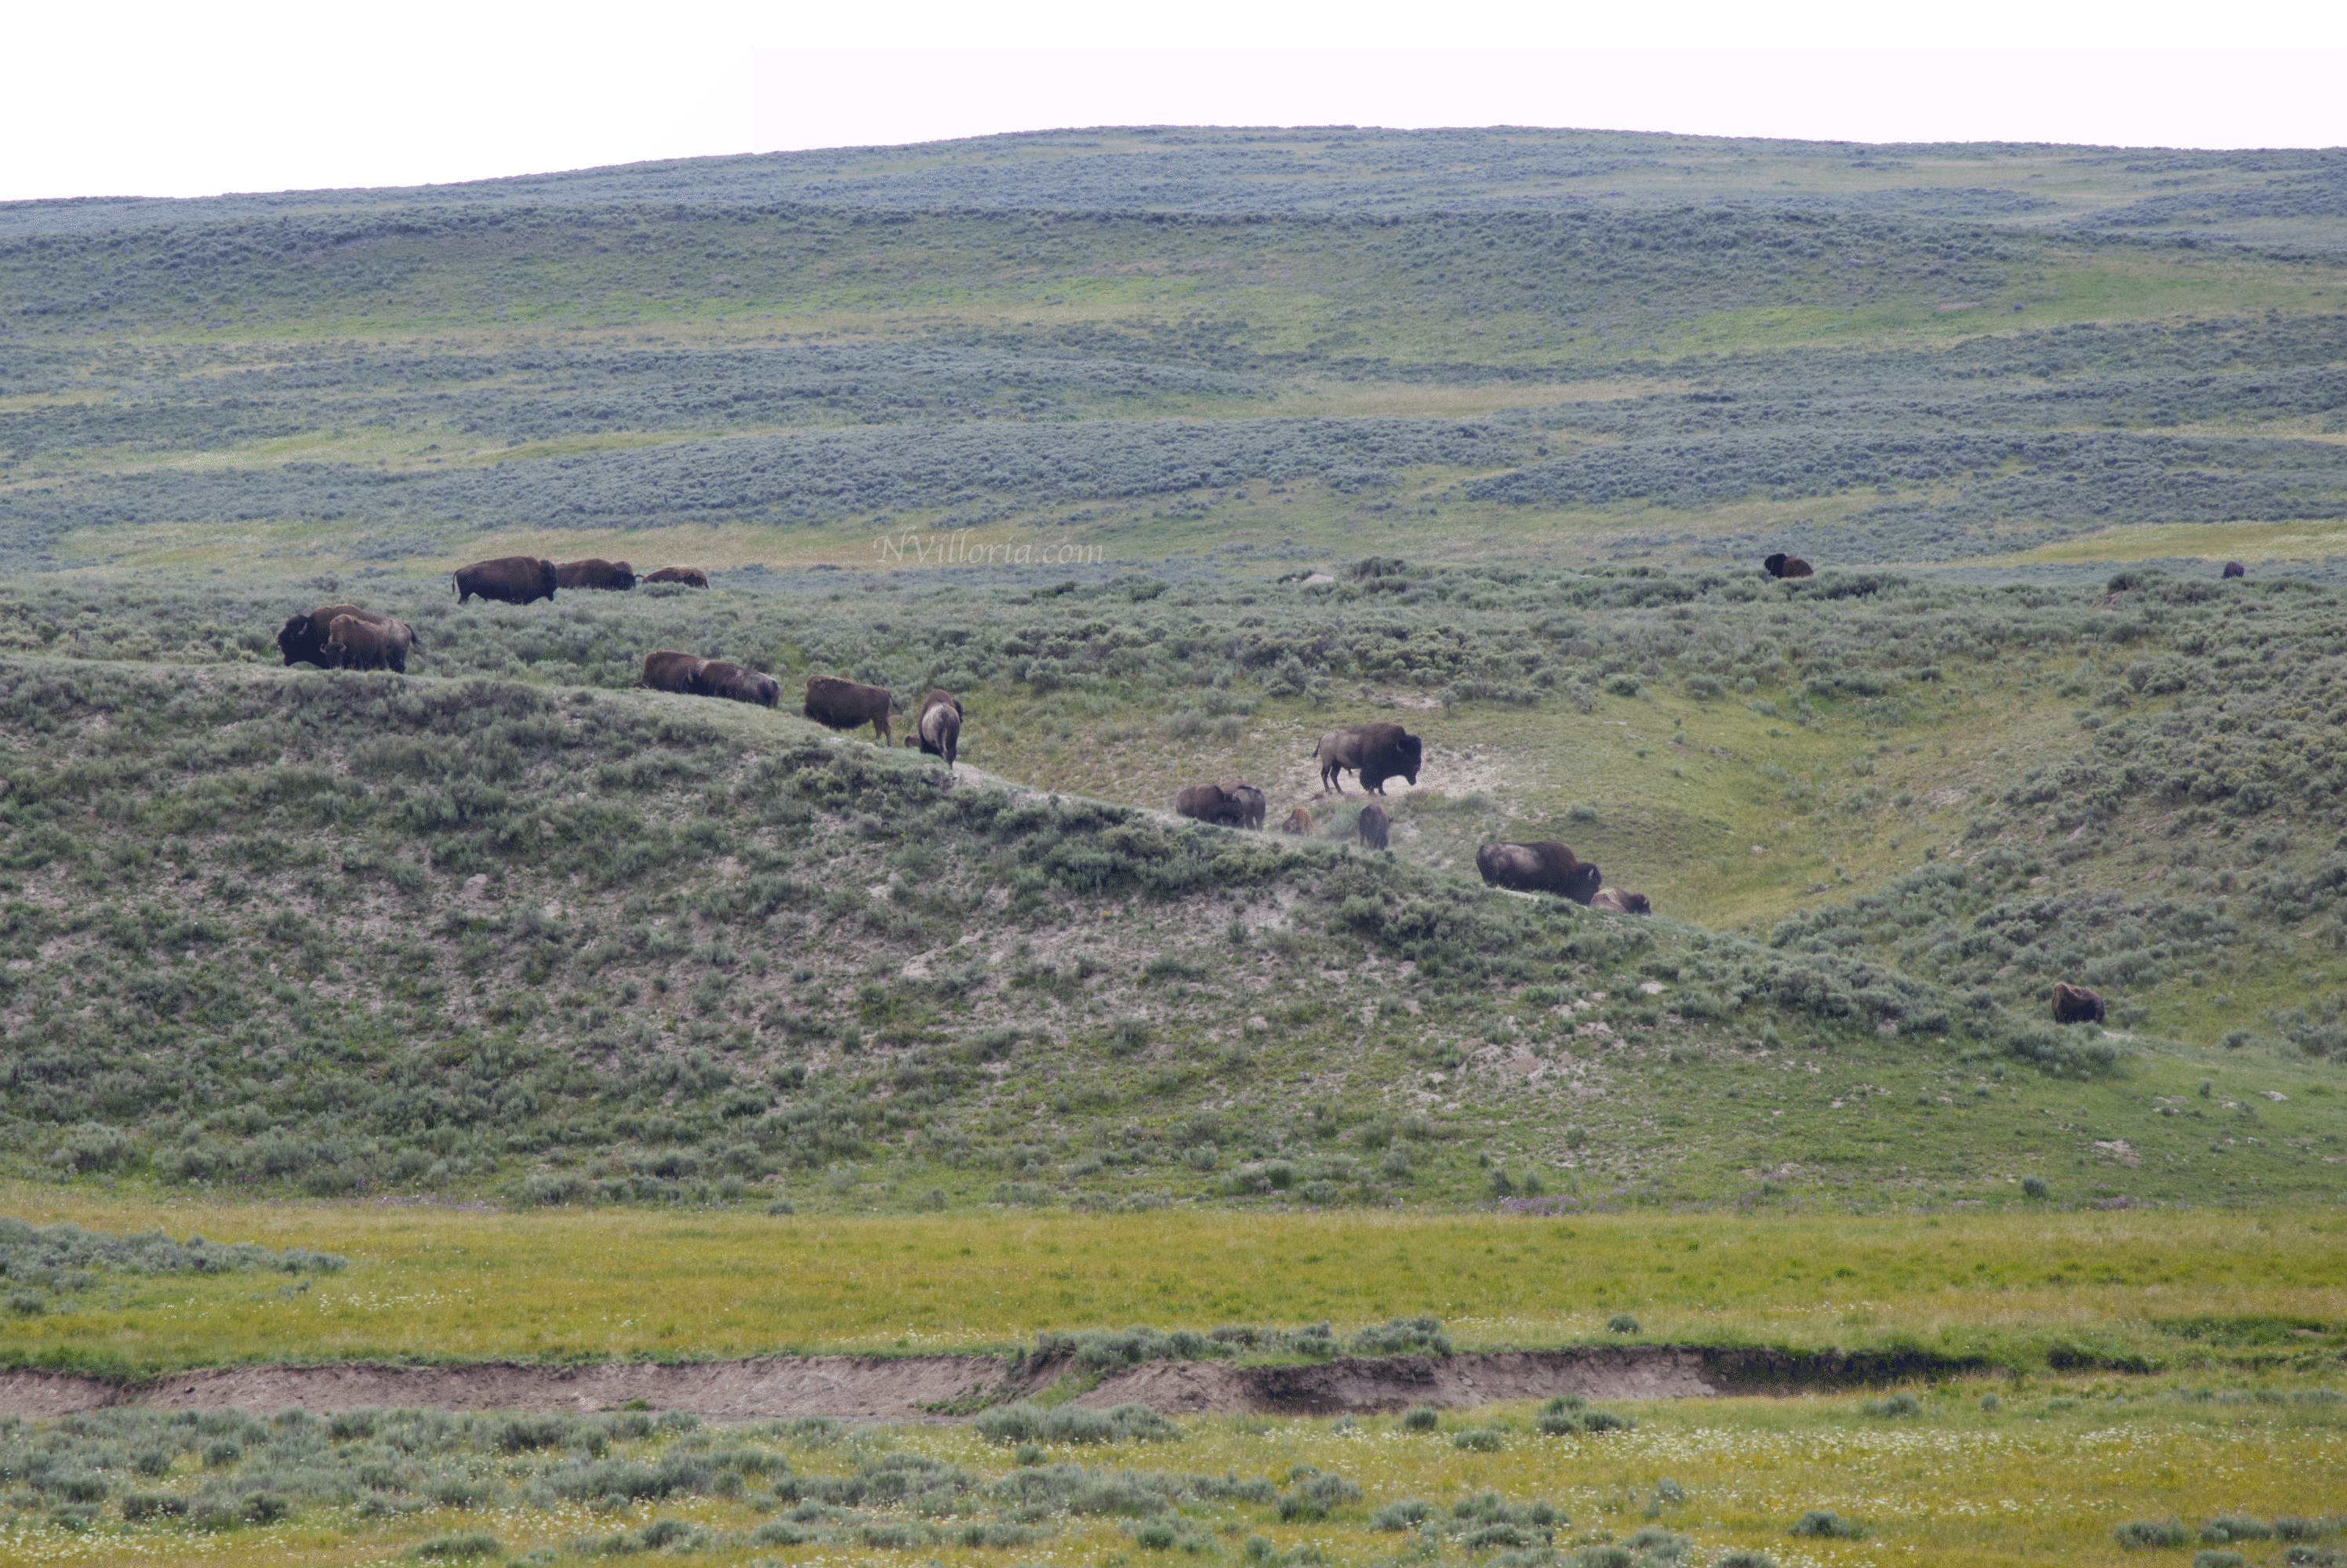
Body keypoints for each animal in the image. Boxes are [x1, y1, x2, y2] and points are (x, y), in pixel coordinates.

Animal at [455, 555, 557, 606]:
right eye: (550, 576)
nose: (556, 586)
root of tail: (460, 569)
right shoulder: (517, 599)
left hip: (465, 594)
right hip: (465, 594)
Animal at [1313, 722, 1423, 795]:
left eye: (1419, 752)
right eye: (1408, 755)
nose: (1418, 767)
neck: (1392, 746)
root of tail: (1323, 737)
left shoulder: (1381, 772)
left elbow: (1380, 782)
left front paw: (1382, 793)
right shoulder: (1372, 769)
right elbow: (1370, 780)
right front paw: (1372, 793)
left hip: (1337, 764)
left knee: (1333, 776)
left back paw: (1341, 791)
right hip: (1328, 763)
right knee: (1324, 775)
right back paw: (1329, 791)